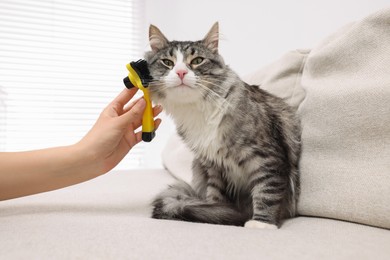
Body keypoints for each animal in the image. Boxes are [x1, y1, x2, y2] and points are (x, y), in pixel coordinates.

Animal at [145, 22, 300, 230]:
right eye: (167, 63)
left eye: (197, 60)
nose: (181, 72)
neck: (198, 111)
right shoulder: (213, 165)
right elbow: (216, 195)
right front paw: (216, 211)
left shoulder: (267, 157)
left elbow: (266, 191)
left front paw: (261, 223)